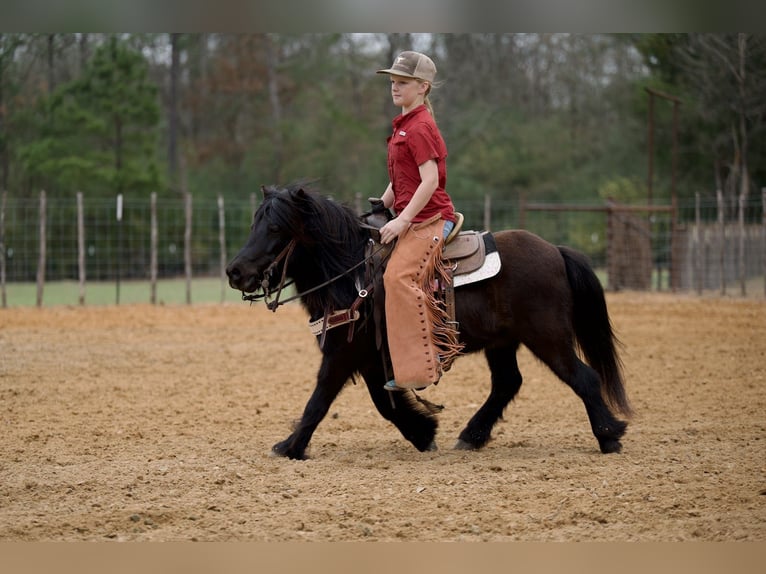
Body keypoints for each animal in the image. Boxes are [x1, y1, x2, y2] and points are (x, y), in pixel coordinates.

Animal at [225, 183, 632, 460]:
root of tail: (556, 252)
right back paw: (472, 435)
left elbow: (320, 400)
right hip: (502, 343)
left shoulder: (343, 355)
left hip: (548, 337)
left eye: (275, 229)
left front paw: (290, 445)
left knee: (583, 378)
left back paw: (609, 435)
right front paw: (423, 431)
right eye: (255, 223)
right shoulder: (371, 358)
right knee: (507, 383)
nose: (235, 272)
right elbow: (384, 403)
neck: (351, 272)